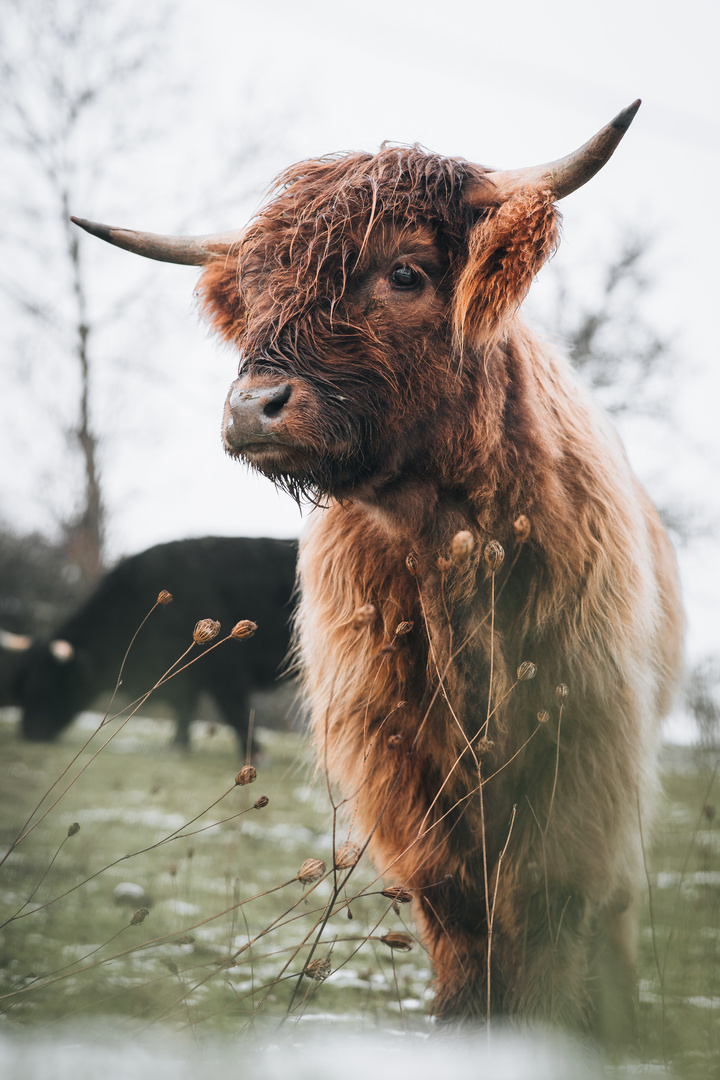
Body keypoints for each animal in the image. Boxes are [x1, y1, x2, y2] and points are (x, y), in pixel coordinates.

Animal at [14, 533, 297, 751]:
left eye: (54, 684)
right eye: (28, 682)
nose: (29, 732)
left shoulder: (225, 667)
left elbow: (234, 708)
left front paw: (255, 752)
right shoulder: (186, 676)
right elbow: (184, 709)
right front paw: (178, 745)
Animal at [74, 105, 686, 1041]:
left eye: (405, 271)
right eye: (257, 292)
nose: (252, 407)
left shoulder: (582, 744)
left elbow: (549, 905)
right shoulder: (394, 759)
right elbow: (457, 909)